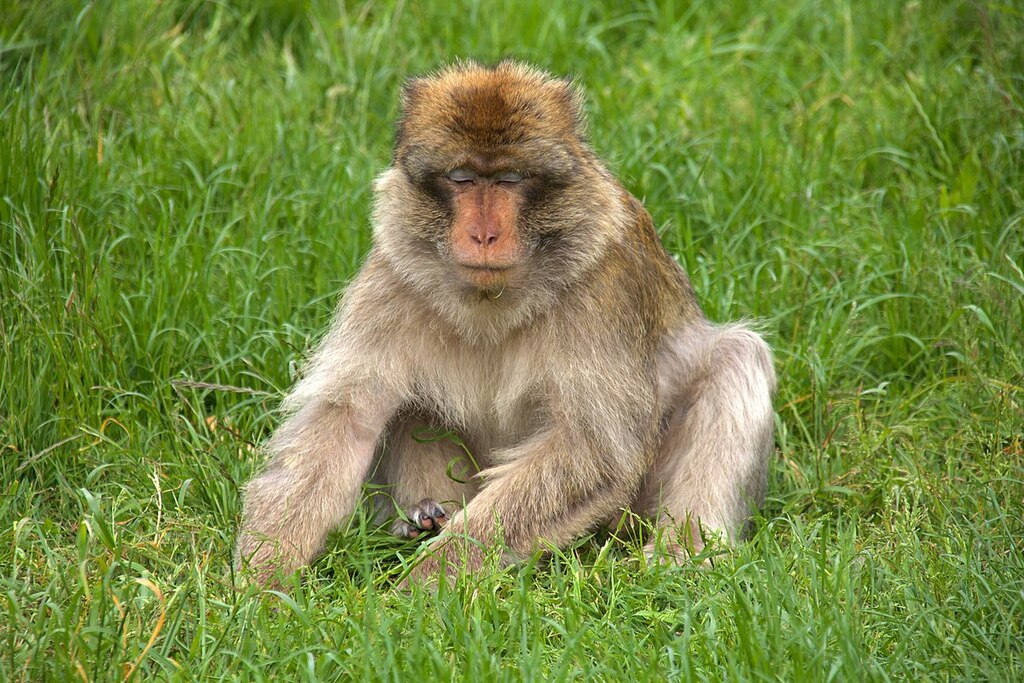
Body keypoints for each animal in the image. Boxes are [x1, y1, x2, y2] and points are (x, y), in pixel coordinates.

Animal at [235, 60, 776, 585]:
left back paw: (686, 554)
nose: (484, 234)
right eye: (461, 177)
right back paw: (419, 520)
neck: (493, 299)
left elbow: (595, 450)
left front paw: (427, 582)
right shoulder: (391, 281)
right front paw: (262, 580)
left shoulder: (601, 287)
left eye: (511, 179)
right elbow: (345, 420)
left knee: (736, 357)